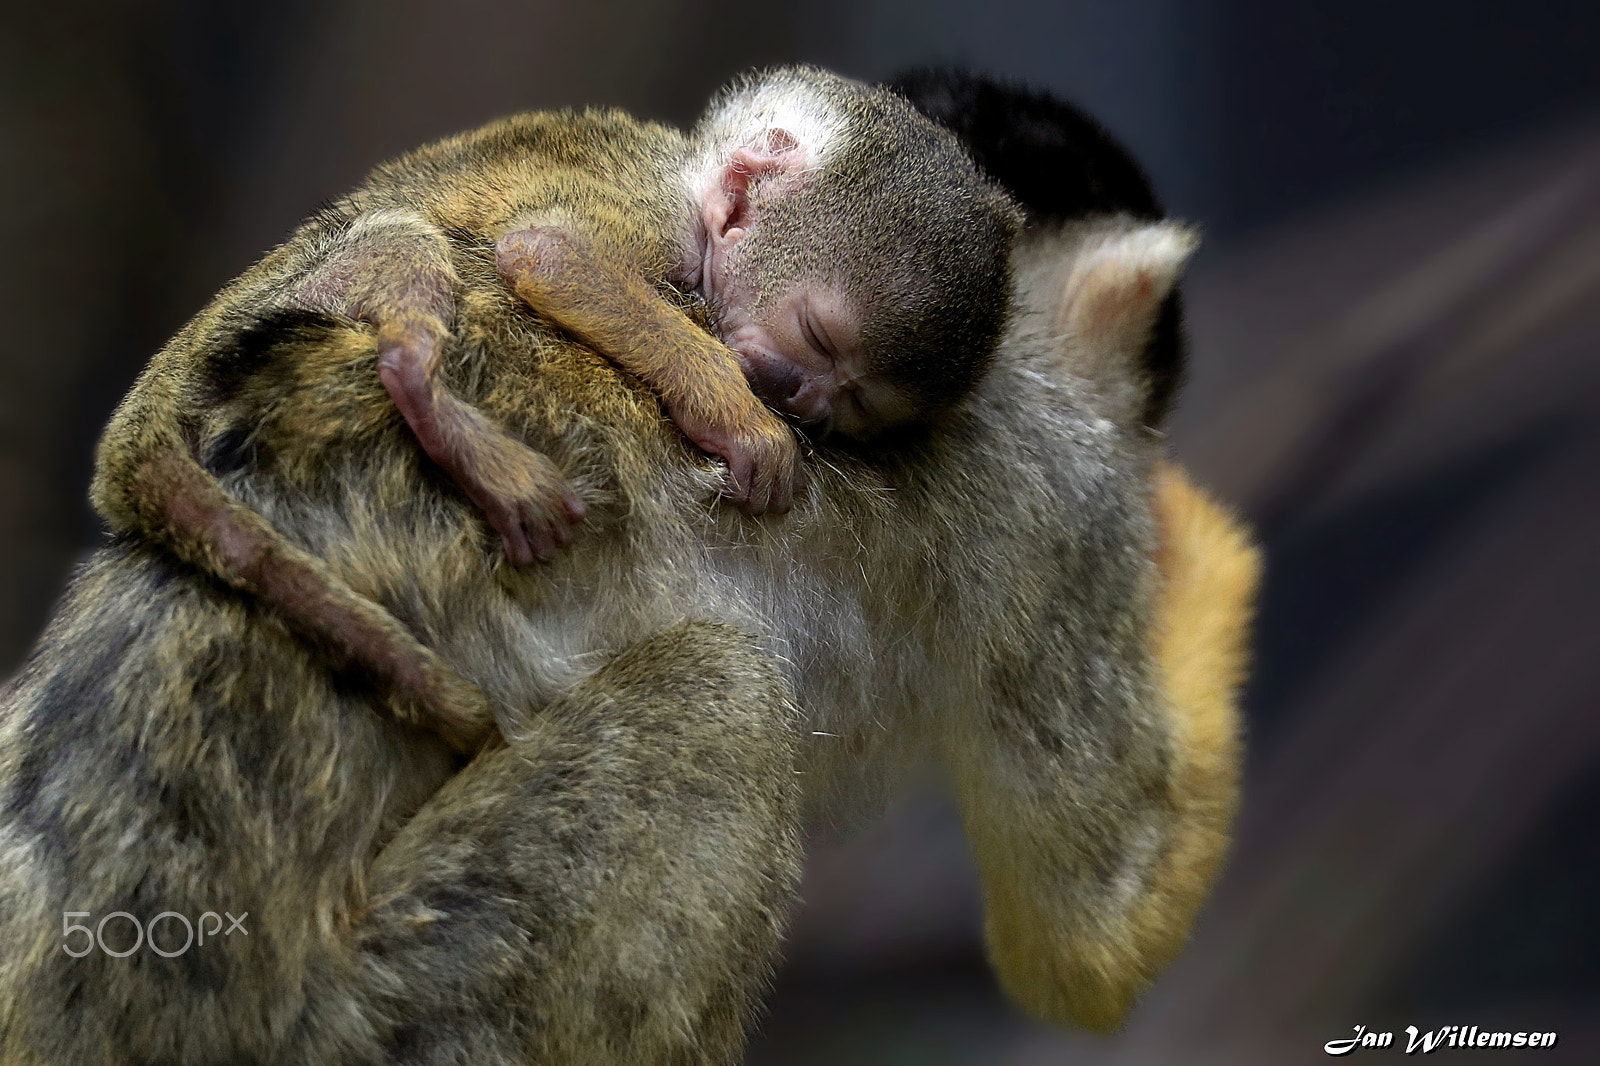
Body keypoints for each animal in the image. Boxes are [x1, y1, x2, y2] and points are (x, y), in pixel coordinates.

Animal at [93, 64, 1017, 745]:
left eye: (856, 400)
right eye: (819, 337)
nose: (803, 400)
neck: (686, 172)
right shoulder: (655, 210)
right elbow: (555, 255)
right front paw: (745, 422)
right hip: (297, 295)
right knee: (406, 248)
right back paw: (432, 402)